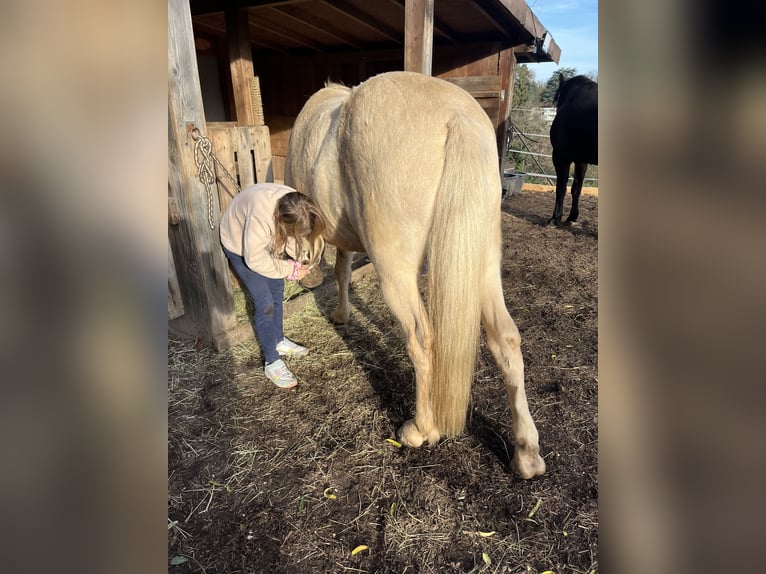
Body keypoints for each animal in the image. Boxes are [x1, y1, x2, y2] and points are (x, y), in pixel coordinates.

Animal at [285, 71, 545, 479]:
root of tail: (457, 116)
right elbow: (342, 269)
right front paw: (342, 314)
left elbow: (341, 269)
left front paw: (338, 313)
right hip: (484, 263)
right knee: (506, 339)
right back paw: (526, 454)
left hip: (396, 271)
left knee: (421, 340)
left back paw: (422, 430)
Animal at [548, 74, 598, 226]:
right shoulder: (581, 161)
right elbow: (576, 188)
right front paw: (572, 217)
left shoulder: (561, 157)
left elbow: (561, 188)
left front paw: (555, 218)